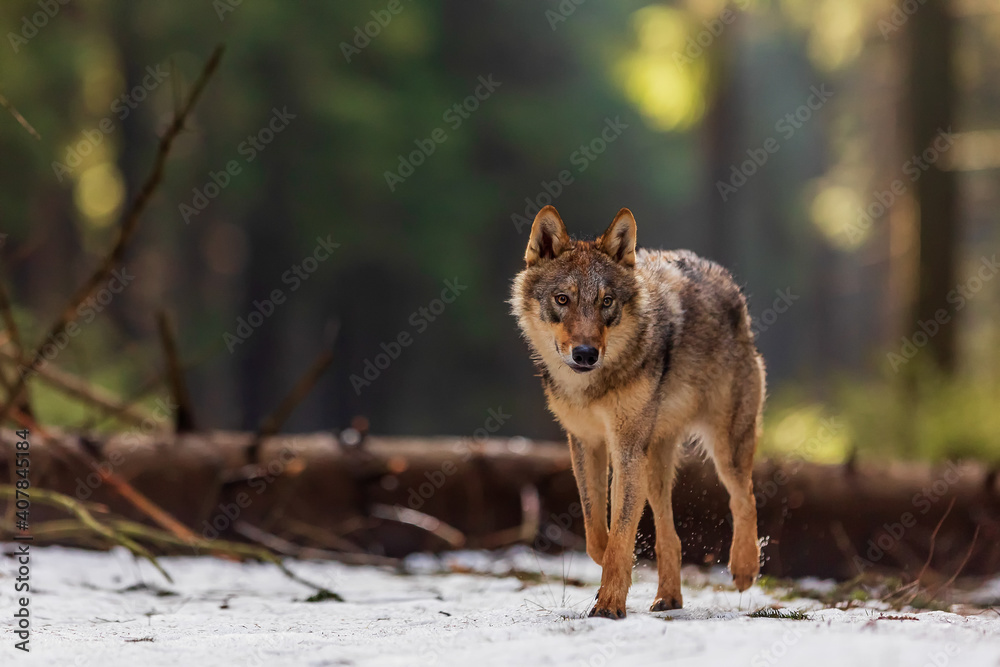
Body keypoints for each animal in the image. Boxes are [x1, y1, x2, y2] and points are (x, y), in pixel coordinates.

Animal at [510, 205, 765, 619]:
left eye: (606, 301)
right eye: (562, 299)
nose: (585, 354)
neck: (593, 387)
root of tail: (726, 281)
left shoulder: (626, 448)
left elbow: (619, 534)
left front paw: (610, 603)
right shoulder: (588, 443)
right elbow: (598, 532)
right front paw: (613, 581)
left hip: (724, 449)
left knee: (745, 498)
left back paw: (744, 569)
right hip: (655, 463)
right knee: (670, 535)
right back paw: (669, 597)